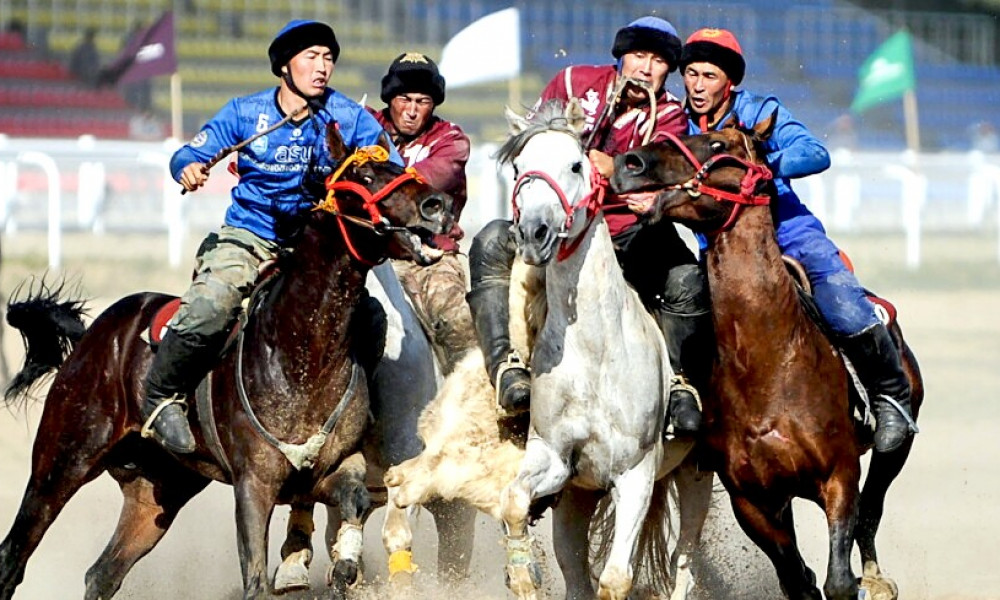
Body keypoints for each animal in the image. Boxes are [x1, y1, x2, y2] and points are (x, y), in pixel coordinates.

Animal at [0, 123, 452, 600]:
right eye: (364, 175)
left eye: (399, 167)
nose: (436, 205)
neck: (299, 356)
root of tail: (95, 335)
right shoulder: (254, 485)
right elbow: (255, 579)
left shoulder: (327, 473)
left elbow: (356, 500)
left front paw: (346, 565)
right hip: (64, 458)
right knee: (15, 554)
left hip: (158, 490)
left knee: (103, 573)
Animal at [386, 99, 716, 600]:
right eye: (519, 167)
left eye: (577, 164)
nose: (534, 232)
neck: (597, 355)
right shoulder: (554, 460)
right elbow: (514, 502)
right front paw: (522, 573)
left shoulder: (637, 474)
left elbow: (616, 578)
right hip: (578, 497)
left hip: (695, 474)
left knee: (685, 561)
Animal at [608, 118, 920, 600]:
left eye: (717, 142)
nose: (630, 162)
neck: (770, 369)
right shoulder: (752, 499)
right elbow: (798, 579)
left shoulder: (840, 476)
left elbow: (839, 579)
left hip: (896, 446)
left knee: (874, 505)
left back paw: (876, 575)